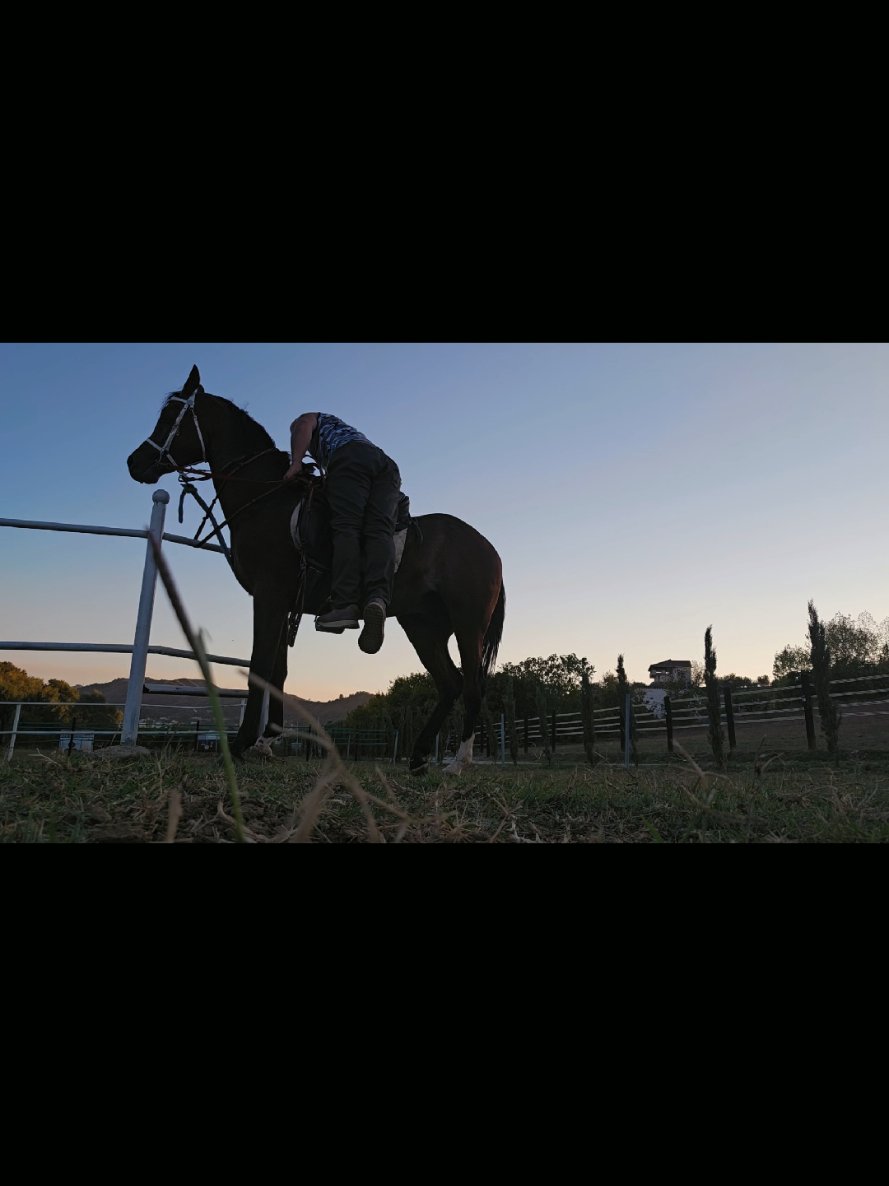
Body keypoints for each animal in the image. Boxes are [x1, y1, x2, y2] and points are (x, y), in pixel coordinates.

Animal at [126, 366, 504, 775]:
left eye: (170, 418)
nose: (133, 462)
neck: (267, 499)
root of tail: (489, 549)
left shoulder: (269, 595)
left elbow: (260, 667)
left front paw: (242, 742)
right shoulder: (281, 602)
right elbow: (278, 671)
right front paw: (265, 741)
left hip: (467, 624)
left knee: (472, 687)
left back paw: (459, 761)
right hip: (424, 626)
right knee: (449, 684)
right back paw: (419, 755)